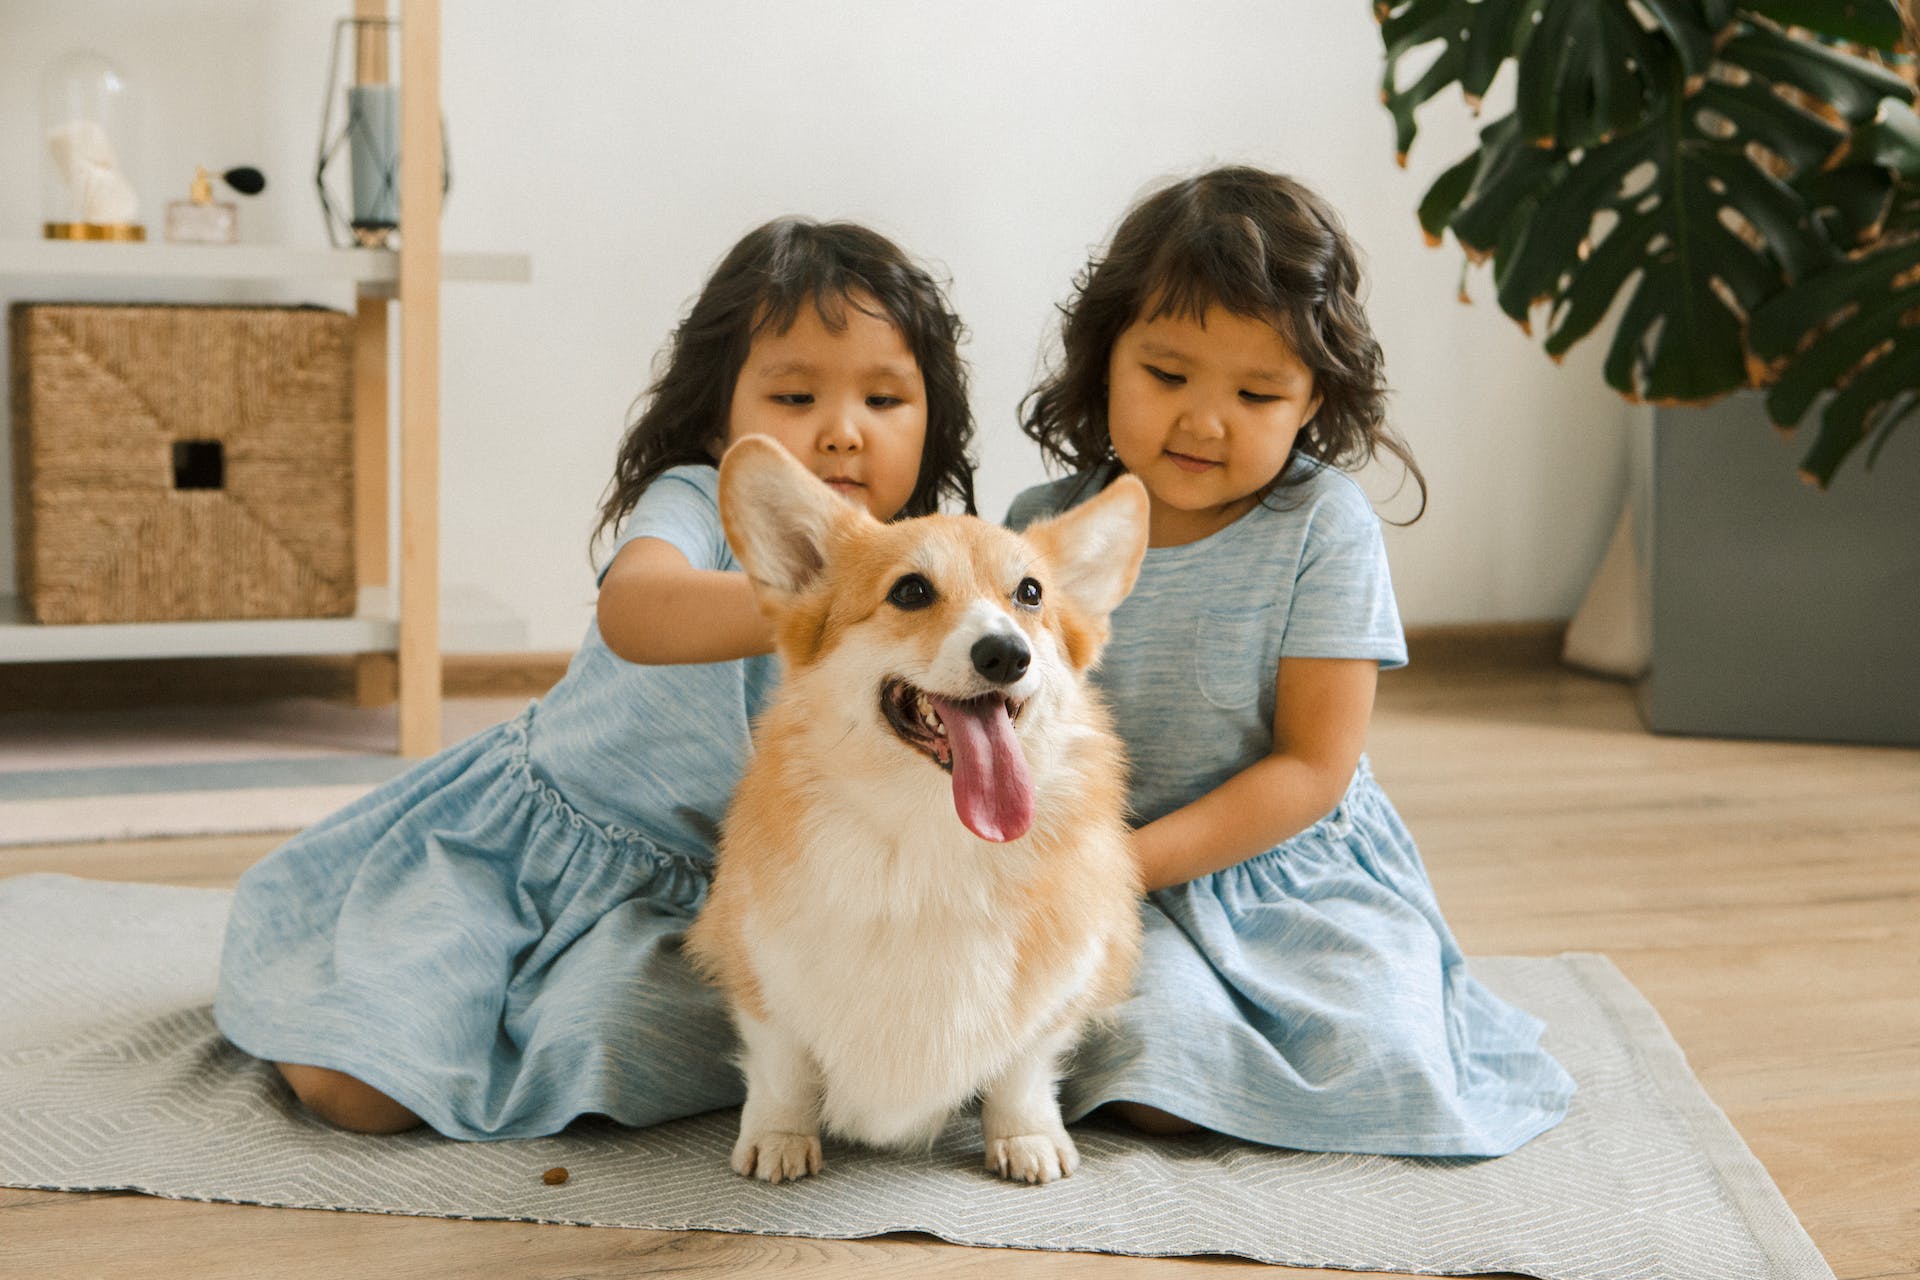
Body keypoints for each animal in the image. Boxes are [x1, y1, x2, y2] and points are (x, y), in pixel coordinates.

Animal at [683, 441, 1144, 1189]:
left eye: (1031, 594)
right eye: (910, 592)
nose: (1006, 654)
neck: (934, 839)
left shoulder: (1066, 979)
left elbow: (1023, 1065)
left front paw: (1025, 1137)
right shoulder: (759, 967)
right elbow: (783, 1065)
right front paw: (780, 1137)